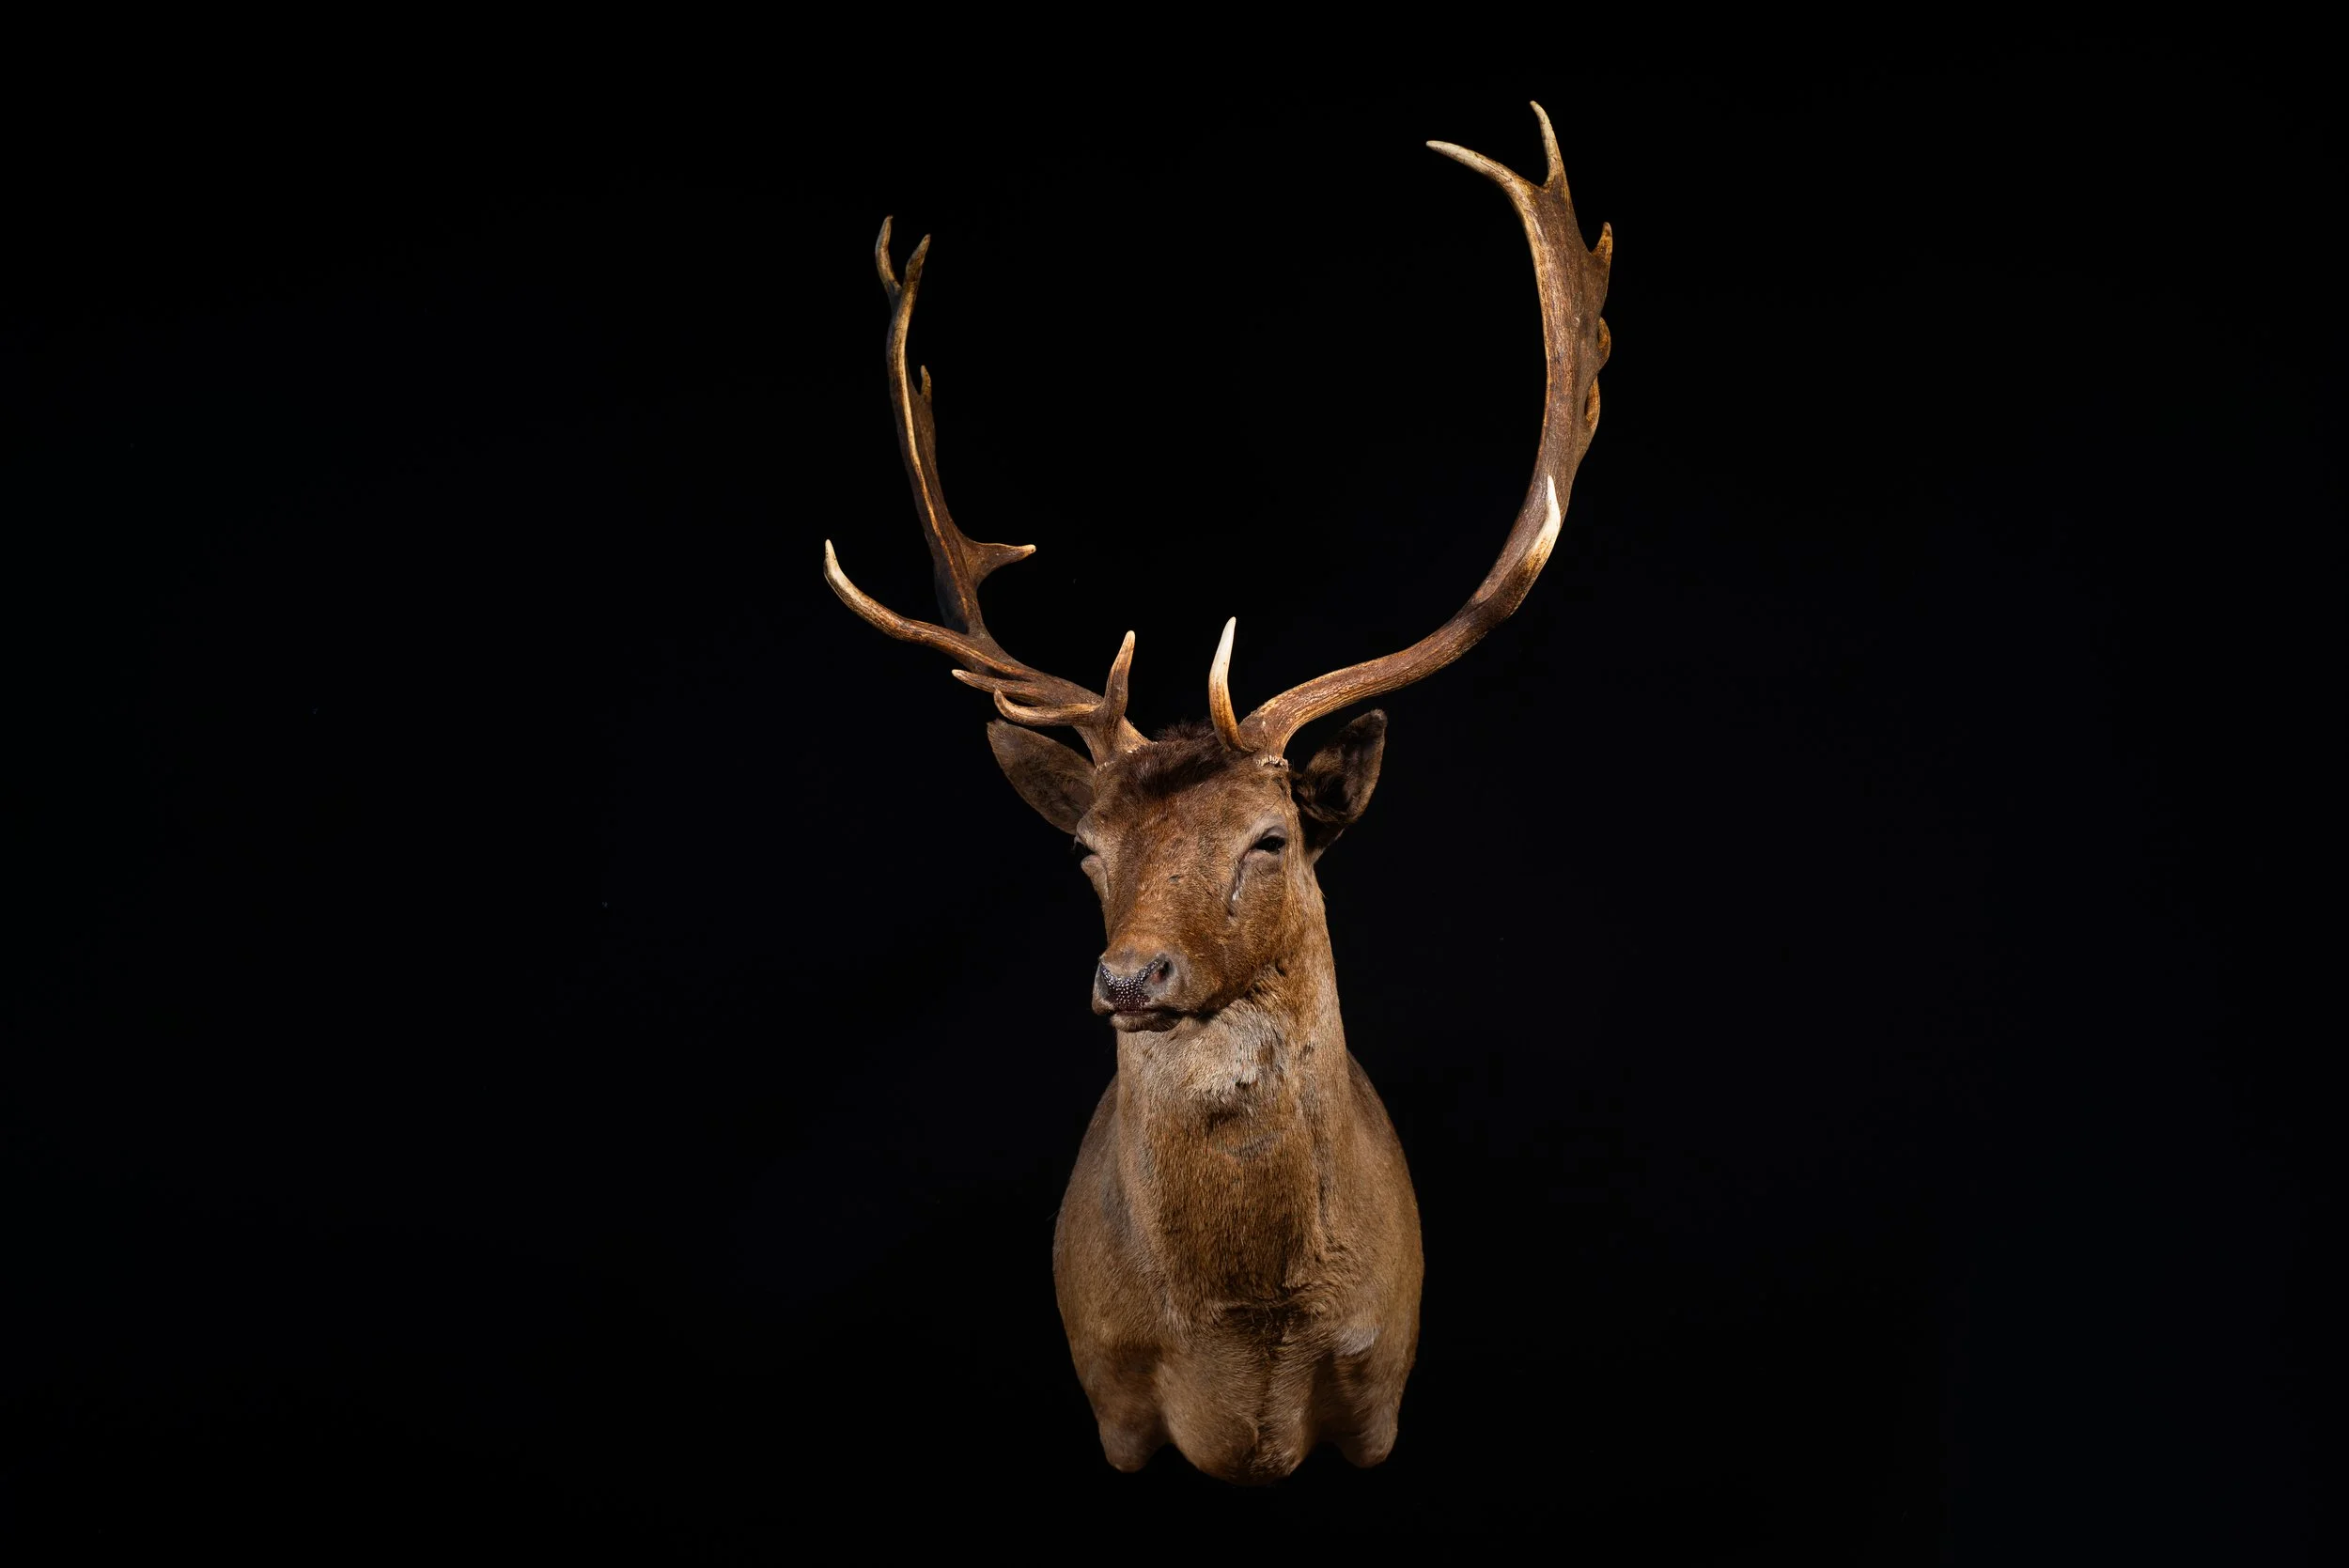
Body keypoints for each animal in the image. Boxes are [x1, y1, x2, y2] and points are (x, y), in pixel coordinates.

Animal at [821, 103, 1611, 1484]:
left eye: (1273, 836)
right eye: (1086, 847)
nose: (1131, 976)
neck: (1245, 1352)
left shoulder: (1381, 1396)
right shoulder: (1112, 1403)